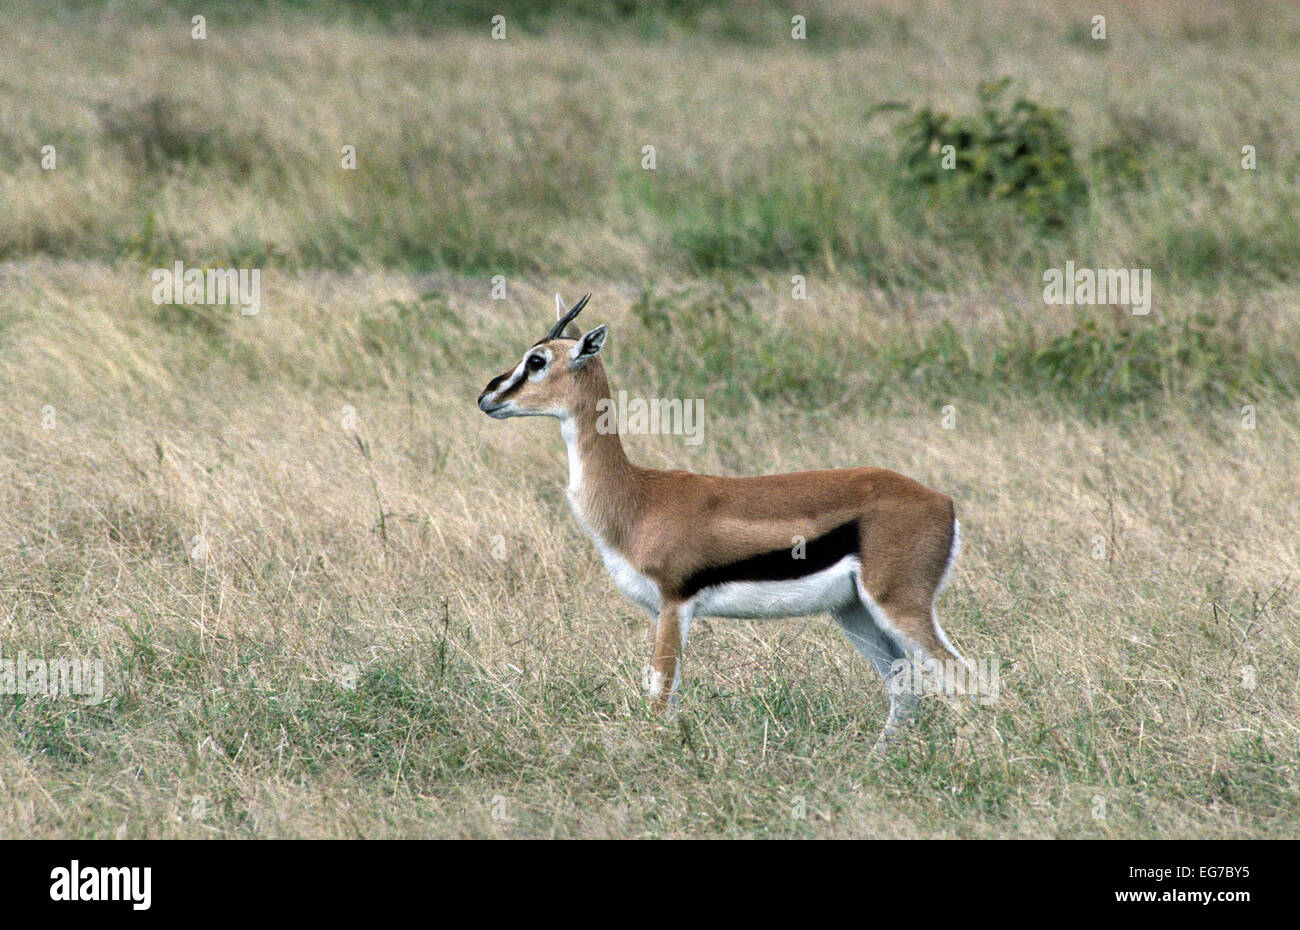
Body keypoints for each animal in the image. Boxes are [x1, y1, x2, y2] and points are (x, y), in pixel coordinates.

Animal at [478, 293, 970, 748]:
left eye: (537, 360)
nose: (487, 397)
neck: (638, 498)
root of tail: (943, 502)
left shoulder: (674, 603)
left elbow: (660, 698)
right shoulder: (661, 611)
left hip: (899, 606)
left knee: (962, 675)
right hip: (854, 612)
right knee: (904, 684)